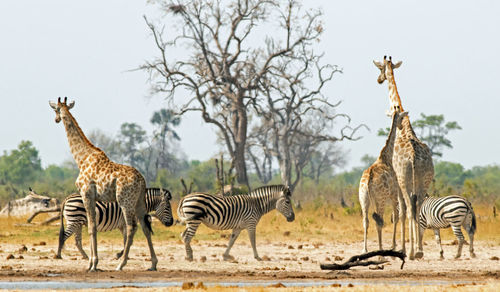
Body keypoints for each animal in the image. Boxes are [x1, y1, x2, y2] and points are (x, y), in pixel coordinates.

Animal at [48, 98, 158, 272]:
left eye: (56, 109)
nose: (56, 119)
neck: (81, 158)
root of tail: (142, 180)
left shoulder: (87, 194)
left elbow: (92, 227)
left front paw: (92, 263)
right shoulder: (92, 197)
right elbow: (92, 227)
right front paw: (92, 262)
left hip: (125, 201)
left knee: (131, 227)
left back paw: (121, 264)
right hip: (139, 201)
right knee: (145, 227)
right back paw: (153, 263)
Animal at [358, 109, 408, 253]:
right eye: (401, 118)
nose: (401, 127)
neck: (386, 157)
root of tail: (368, 181)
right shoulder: (394, 193)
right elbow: (395, 217)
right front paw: (394, 245)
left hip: (364, 199)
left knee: (366, 221)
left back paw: (365, 250)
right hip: (380, 200)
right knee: (378, 222)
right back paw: (380, 253)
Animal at [374, 56, 436, 258]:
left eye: (380, 69)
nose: (379, 79)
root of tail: (414, 157)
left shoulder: (396, 179)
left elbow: (399, 213)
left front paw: (400, 247)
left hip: (404, 180)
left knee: (409, 209)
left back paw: (411, 251)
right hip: (424, 181)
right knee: (418, 209)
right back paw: (419, 250)